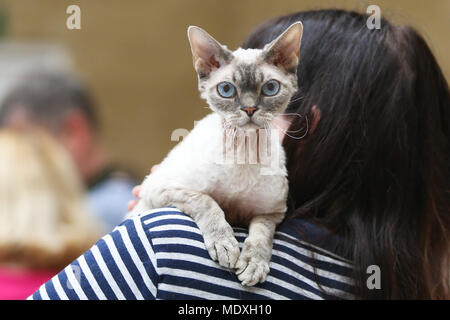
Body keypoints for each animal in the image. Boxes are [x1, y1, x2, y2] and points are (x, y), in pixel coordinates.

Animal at [132, 23, 304, 288]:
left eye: (270, 88)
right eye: (226, 90)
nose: (249, 109)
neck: (243, 153)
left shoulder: (271, 213)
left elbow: (261, 235)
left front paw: (254, 264)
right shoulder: (161, 188)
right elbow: (208, 202)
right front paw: (225, 246)